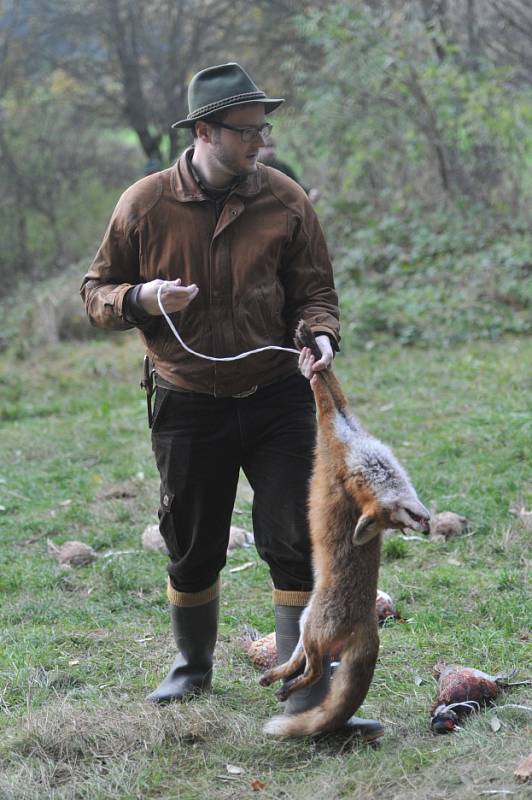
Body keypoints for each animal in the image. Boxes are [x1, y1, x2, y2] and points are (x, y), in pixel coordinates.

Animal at [260, 320, 430, 736]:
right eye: (393, 521)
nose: (425, 529)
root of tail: (369, 621)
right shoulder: (345, 418)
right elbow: (332, 383)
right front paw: (308, 343)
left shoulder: (332, 428)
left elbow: (322, 389)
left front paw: (309, 349)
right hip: (305, 623)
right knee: (301, 663)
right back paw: (275, 678)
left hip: (312, 627)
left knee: (314, 669)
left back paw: (287, 689)